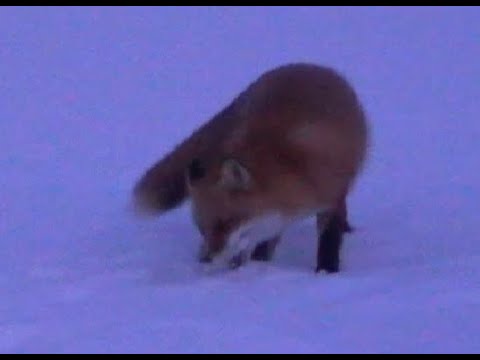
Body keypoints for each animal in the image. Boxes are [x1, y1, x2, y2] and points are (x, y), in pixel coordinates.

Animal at [133, 62, 370, 272]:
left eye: (225, 223)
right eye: (202, 228)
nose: (204, 259)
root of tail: (310, 66)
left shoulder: (331, 196)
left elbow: (329, 241)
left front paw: (326, 271)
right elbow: (260, 244)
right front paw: (258, 265)